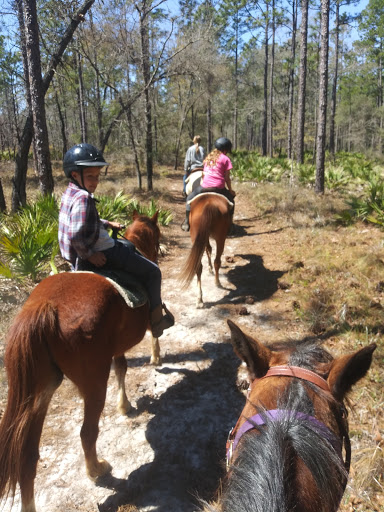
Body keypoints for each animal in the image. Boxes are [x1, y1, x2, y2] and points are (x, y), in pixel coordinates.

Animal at [0, 211, 162, 512]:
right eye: (156, 235)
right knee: (87, 433)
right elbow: (151, 336)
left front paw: (124, 405)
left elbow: (122, 368)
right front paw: (155, 359)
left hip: (40, 392)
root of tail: (44, 306)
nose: (157, 253)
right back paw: (97, 469)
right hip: (93, 384)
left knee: (27, 458)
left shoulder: (116, 348)